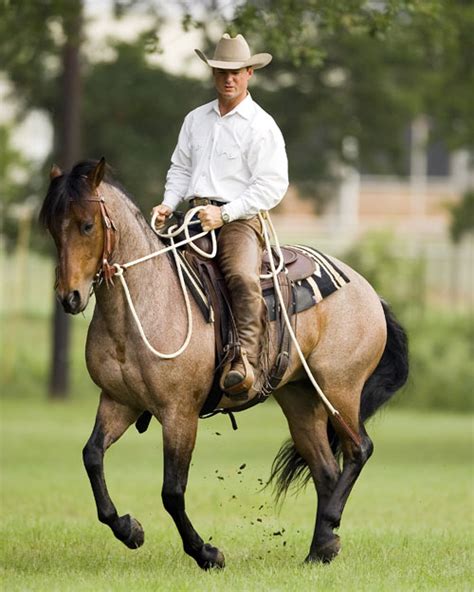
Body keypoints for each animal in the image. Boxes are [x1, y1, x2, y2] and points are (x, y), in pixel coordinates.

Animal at [39, 157, 408, 568]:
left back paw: (328, 526)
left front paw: (206, 553)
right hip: (300, 398)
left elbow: (172, 491)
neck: (142, 306)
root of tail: (369, 291)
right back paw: (321, 548)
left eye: (87, 225)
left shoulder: (179, 412)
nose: (69, 296)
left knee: (359, 449)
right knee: (326, 470)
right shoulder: (119, 402)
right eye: (51, 226)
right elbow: (92, 457)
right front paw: (129, 529)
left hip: (339, 387)